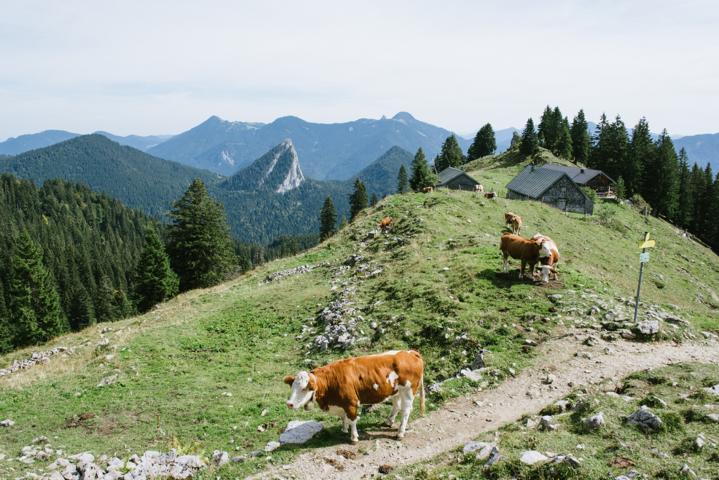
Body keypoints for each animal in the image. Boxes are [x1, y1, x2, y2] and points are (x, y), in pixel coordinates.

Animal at [282, 348, 428, 442]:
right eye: (293, 387)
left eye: (304, 389)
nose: (289, 404)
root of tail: (410, 352)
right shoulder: (341, 404)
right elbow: (343, 417)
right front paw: (344, 429)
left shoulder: (351, 402)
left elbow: (352, 419)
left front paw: (354, 437)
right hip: (396, 390)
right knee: (396, 405)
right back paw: (389, 421)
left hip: (408, 390)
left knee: (406, 410)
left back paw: (400, 433)